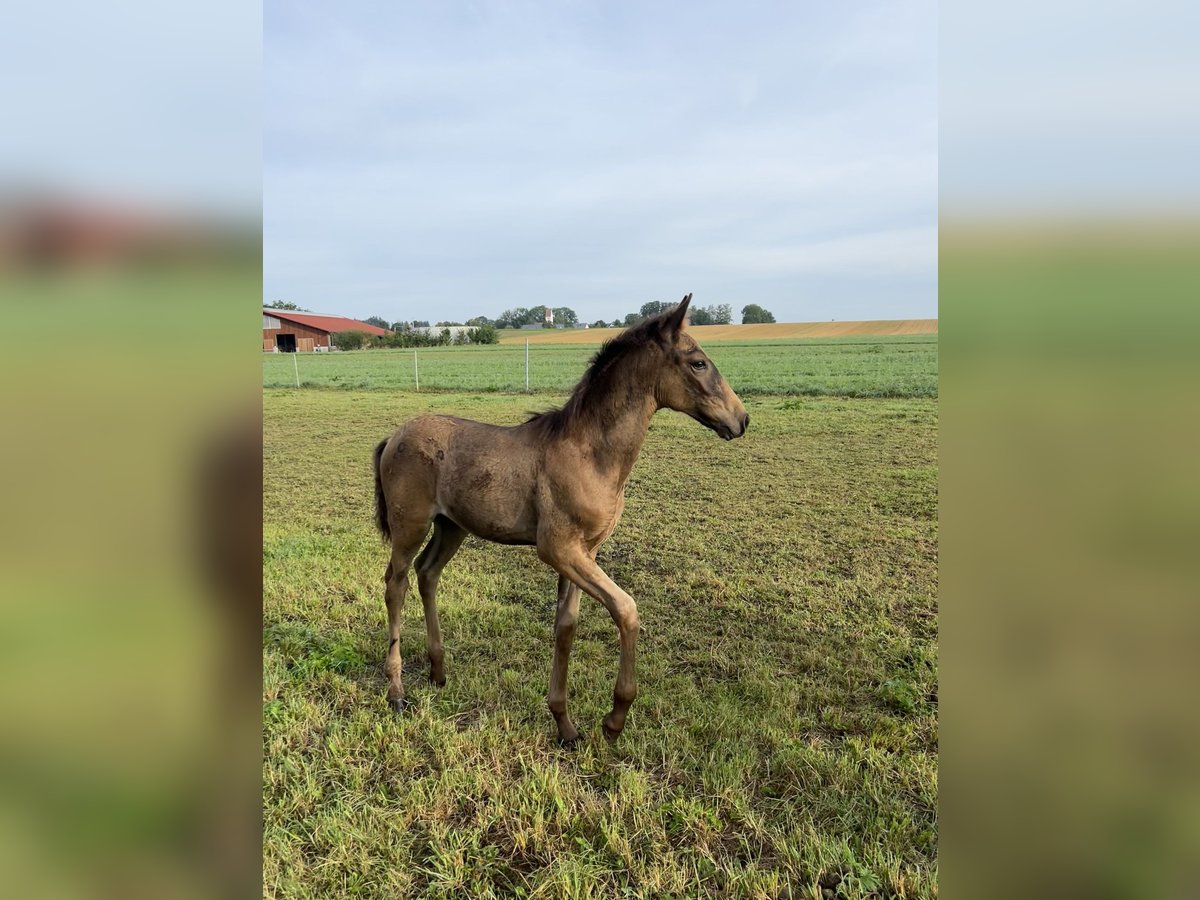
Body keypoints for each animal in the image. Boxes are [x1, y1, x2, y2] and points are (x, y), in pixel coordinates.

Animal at [372, 294, 748, 739]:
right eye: (698, 363)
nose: (741, 419)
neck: (590, 453)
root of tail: (394, 436)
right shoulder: (558, 549)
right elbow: (627, 610)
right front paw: (615, 718)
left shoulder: (585, 551)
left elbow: (566, 626)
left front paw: (564, 723)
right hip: (409, 526)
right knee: (395, 585)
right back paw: (396, 691)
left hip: (452, 527)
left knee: (428, 573)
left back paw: (438, 671)